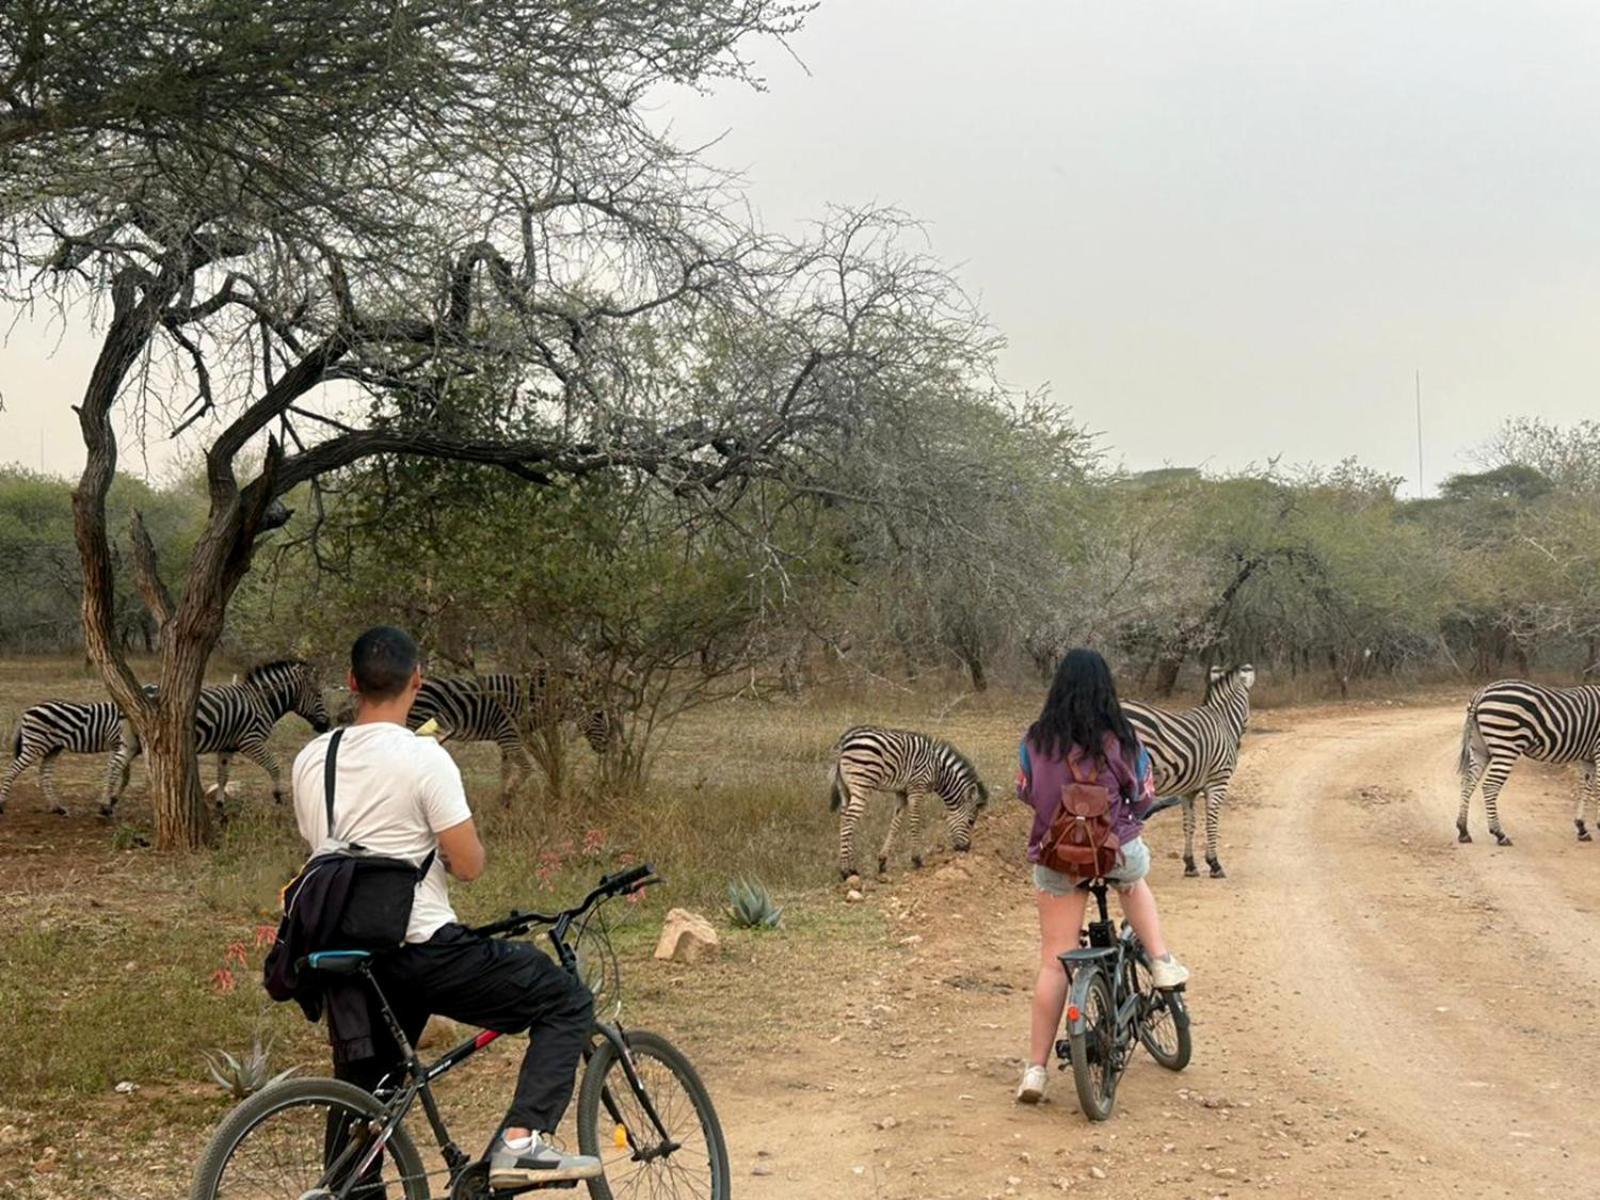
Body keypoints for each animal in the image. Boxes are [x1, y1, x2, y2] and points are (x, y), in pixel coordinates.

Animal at [0, 684, 157, 819]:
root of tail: (29, 709)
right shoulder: (119, 745)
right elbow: (116, 773)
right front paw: (107, 804)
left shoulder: (117, 746)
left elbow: (123, 776)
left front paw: (111, 800)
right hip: (36, 745)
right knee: (12, 769)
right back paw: (2, 804)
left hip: (53, 747)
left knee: (44, 773)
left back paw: (57, 807)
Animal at [406, 681, 537, 803]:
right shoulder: (508, 731)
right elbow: (520, 768)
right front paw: (506, 797)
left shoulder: (508, 734)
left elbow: (506, 769)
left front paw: (504, 799)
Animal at [825, 723, 985, 883]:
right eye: (971, 821)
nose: (966, 849)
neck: (938, 771)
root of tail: (845, 740)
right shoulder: (917, 788)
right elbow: (915, 821)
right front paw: (916, 859)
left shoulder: (901, 792)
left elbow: (895, 824)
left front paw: (882, 862)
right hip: (862, 784)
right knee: (849, 821)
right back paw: (845, 871)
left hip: (844, 788)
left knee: (844, 820)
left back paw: (852, 869)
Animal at [1120, 662, 1254, 876]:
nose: (1240, 744)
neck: (1223, 721)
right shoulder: (1218, 781)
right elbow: (1211, 821)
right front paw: (1214, 864)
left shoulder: (1188, 789)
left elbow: (1189, 825)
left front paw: (1190, 864)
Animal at [1459, 681, 1600, 851]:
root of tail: (1483, 691)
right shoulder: (1598, 750)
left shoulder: (1588, 758)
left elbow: (1585, 789)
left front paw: (1581, 828)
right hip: (1506, 745)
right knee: (1490, 786)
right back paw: (1500, 834)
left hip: (1479, 749)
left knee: (1468, 782)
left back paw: (1463, 831)